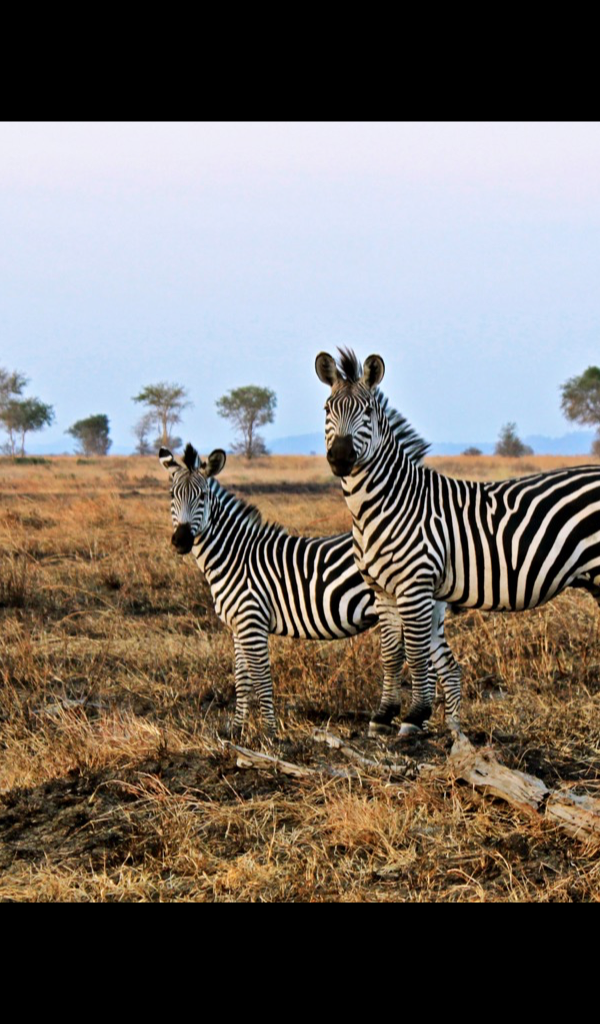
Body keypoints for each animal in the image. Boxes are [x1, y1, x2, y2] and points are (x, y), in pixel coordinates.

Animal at [159, 418, 447, 736]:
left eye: (202, 496)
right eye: (172, 496)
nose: (181, 541)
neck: (234, 555)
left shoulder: (252, 620)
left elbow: (261, 678)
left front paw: (270, 733)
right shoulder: (238, 625)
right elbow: (242, 680)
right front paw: (237, 729)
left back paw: (418, 726)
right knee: (442, 665)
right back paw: (434, 727)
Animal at [316, 347, 600, 737]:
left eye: (368, 412)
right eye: (327, 409)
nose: (341, 458)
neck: (386, 503)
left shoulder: (415, 585)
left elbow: (416, 652)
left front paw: (414, 716)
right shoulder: (382, 590)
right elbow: (391, 654)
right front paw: (384, 715)